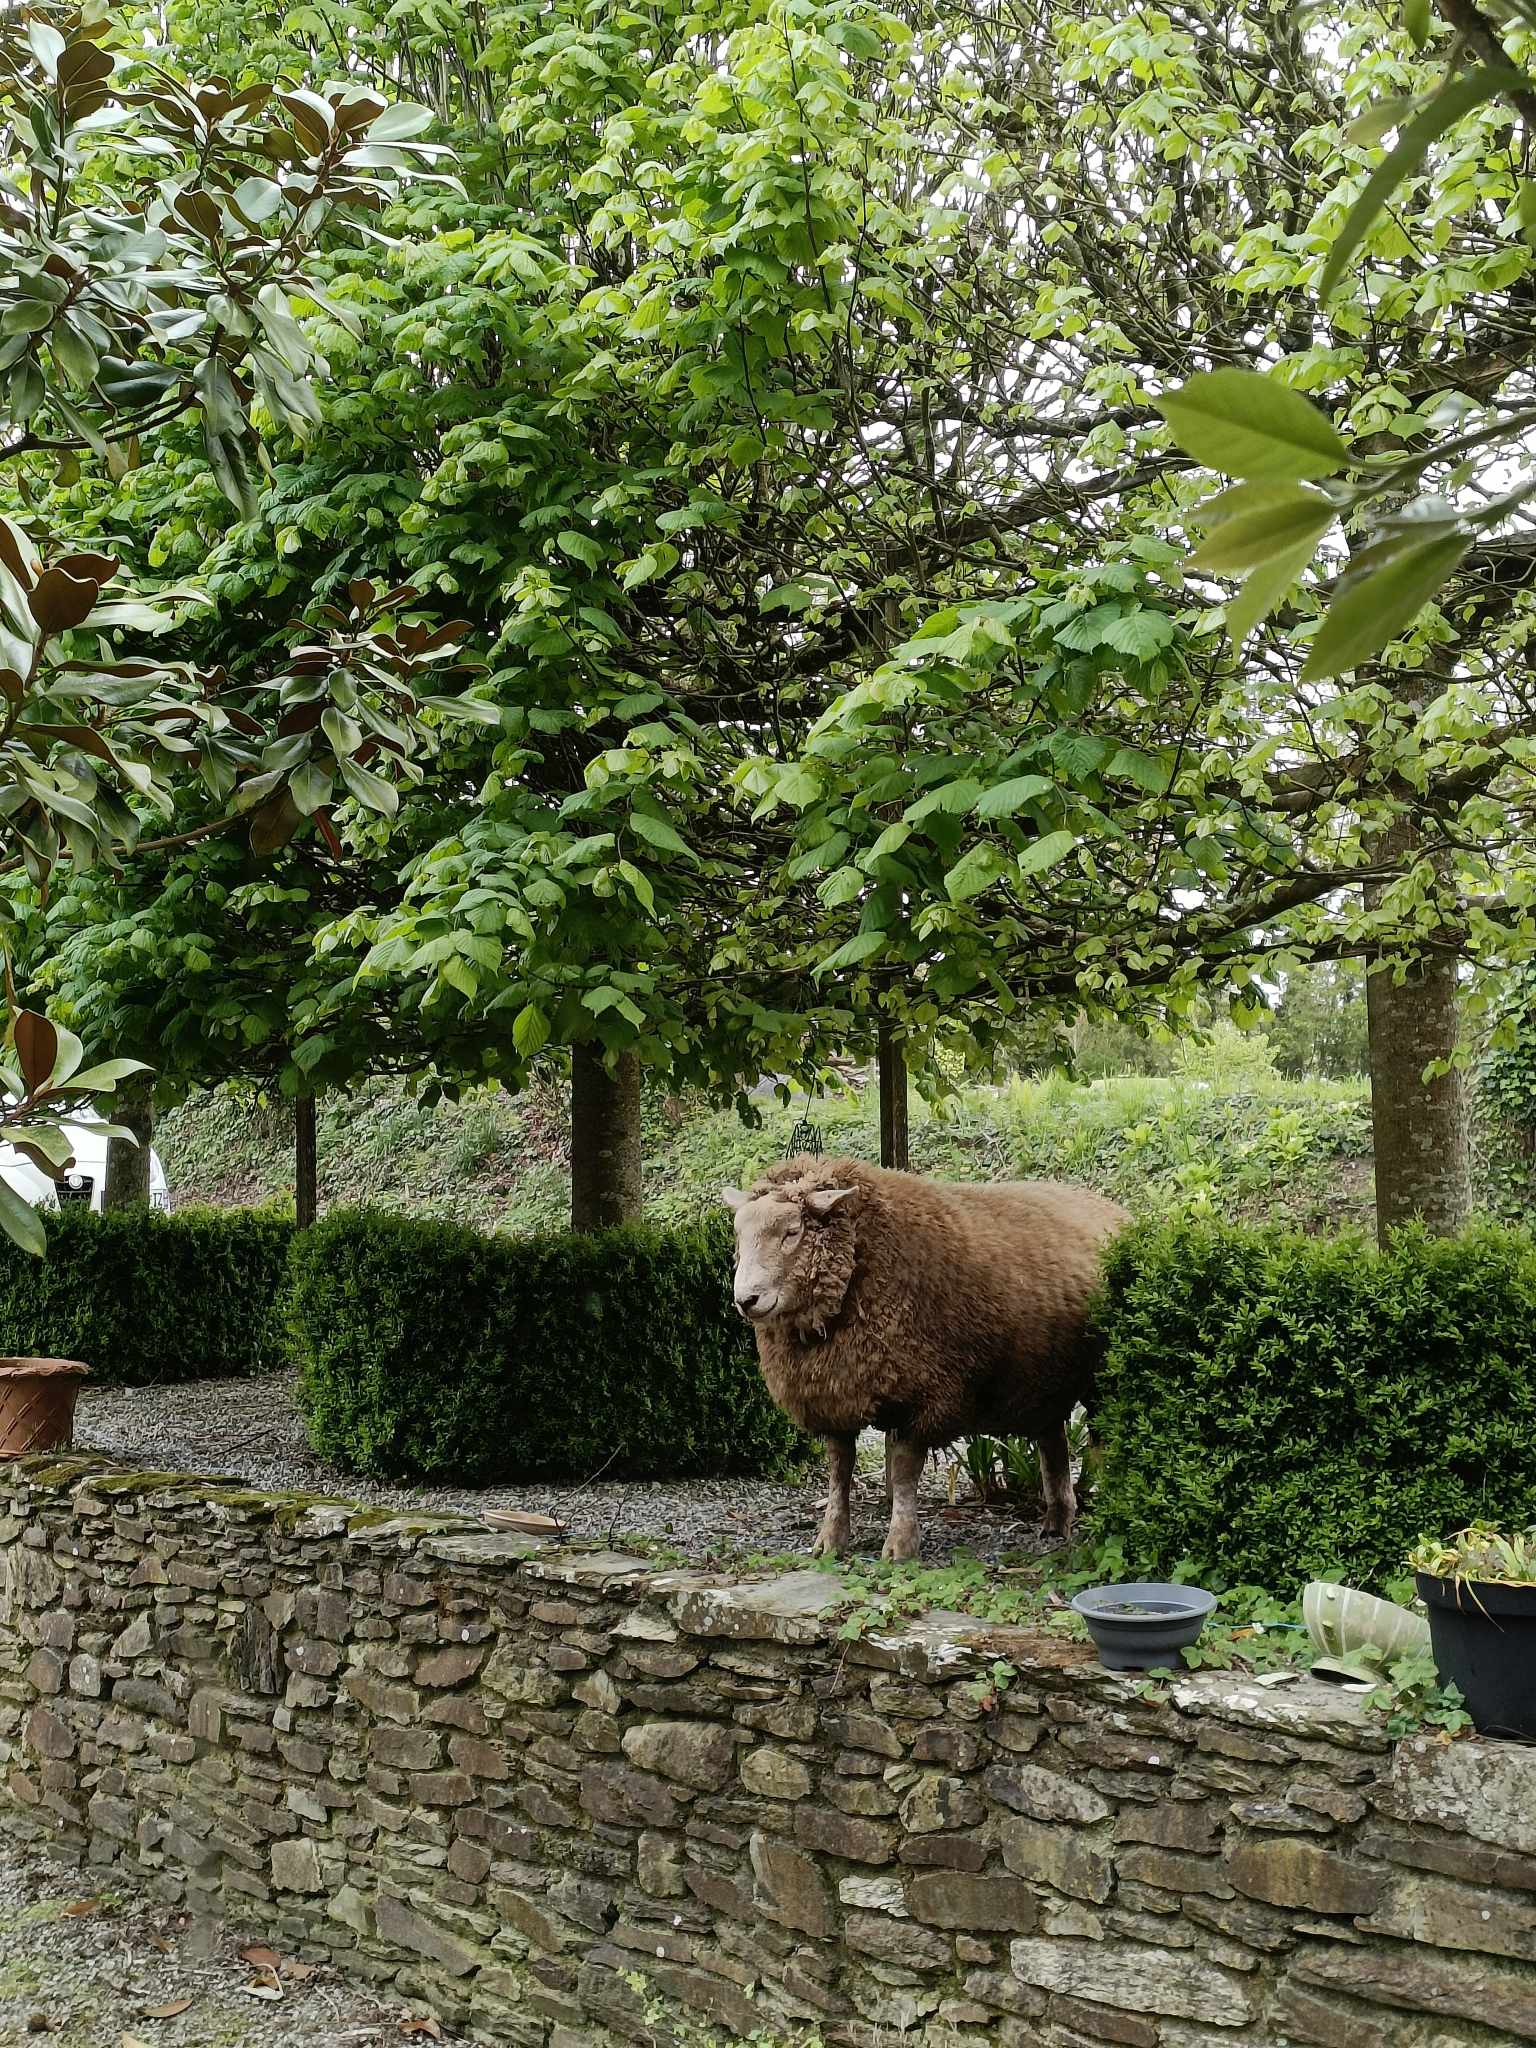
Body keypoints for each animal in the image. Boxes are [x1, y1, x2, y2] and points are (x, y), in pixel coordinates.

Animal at [720, 1146, 1130, 1556]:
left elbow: (903, 1473)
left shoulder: (923, 1396)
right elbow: (839, 1471)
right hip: (1045, 1385)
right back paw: (1057, 1523)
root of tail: (1113, 1208)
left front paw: (900, 1544)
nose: (746, 1300)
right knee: (1053, 1443)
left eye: (792, 1232)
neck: (859, 1268)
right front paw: (830, 1540)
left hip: (1100, 1382)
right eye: (738, 1235)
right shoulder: (834, 1396)